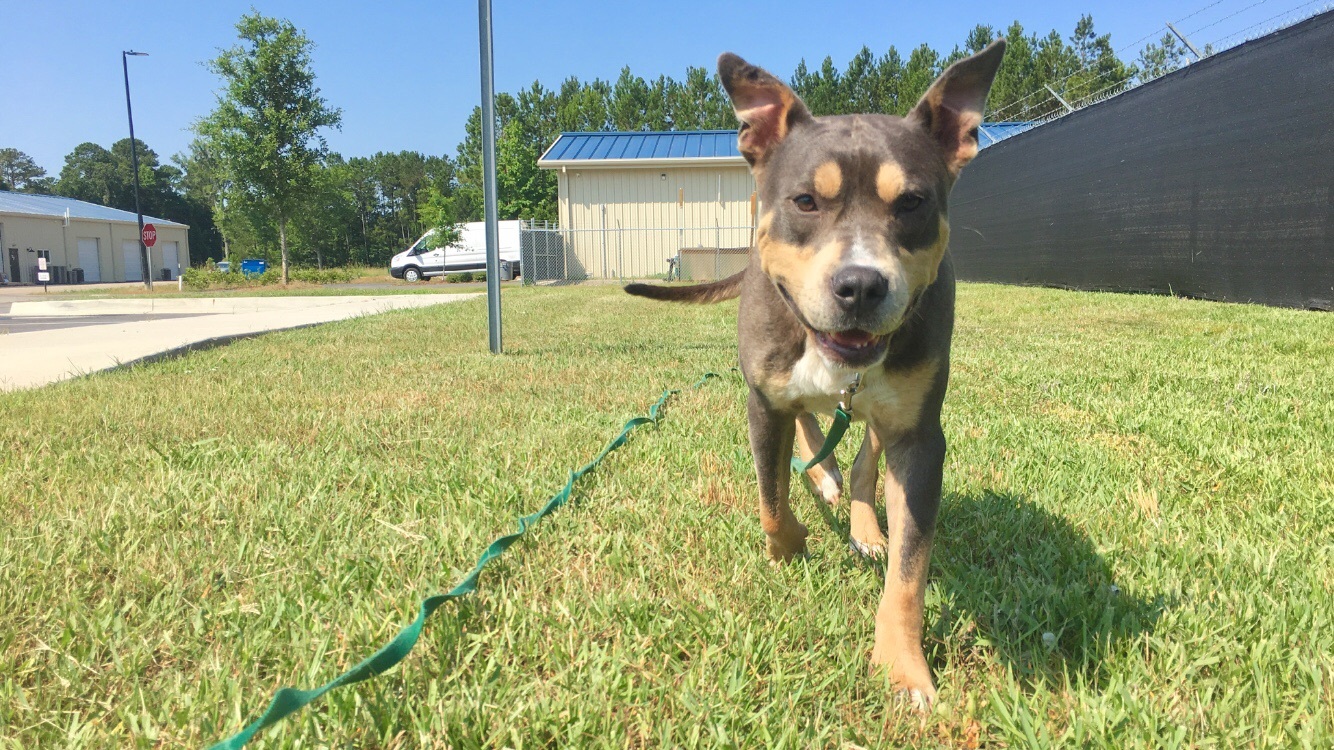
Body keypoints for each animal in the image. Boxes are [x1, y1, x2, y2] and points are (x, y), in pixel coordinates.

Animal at [624, 43, 1003, 704]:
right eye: (805, 201)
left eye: (912, 203)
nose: (860, 285)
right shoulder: (762, 400)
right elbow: (770, 494)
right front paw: (790, 546)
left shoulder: (919, 436)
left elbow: (910, 567)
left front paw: (902, 665)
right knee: (808, 430)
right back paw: (821, 478)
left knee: (862, 460)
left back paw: (862, 522)